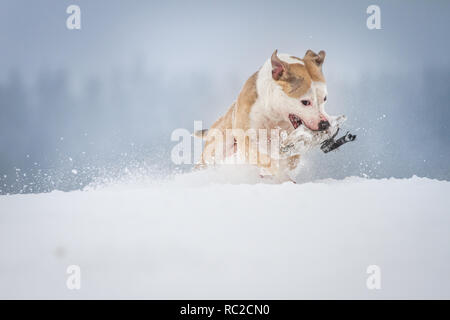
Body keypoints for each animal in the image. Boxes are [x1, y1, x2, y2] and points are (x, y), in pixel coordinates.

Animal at [196, 48, 334, 181]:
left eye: (325, 98)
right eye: (305, 102)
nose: (324, 124)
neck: (275, 114)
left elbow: (291, 160)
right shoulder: (247, 138)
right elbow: (264, 159)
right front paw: (280, 175)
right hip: (218, 146)